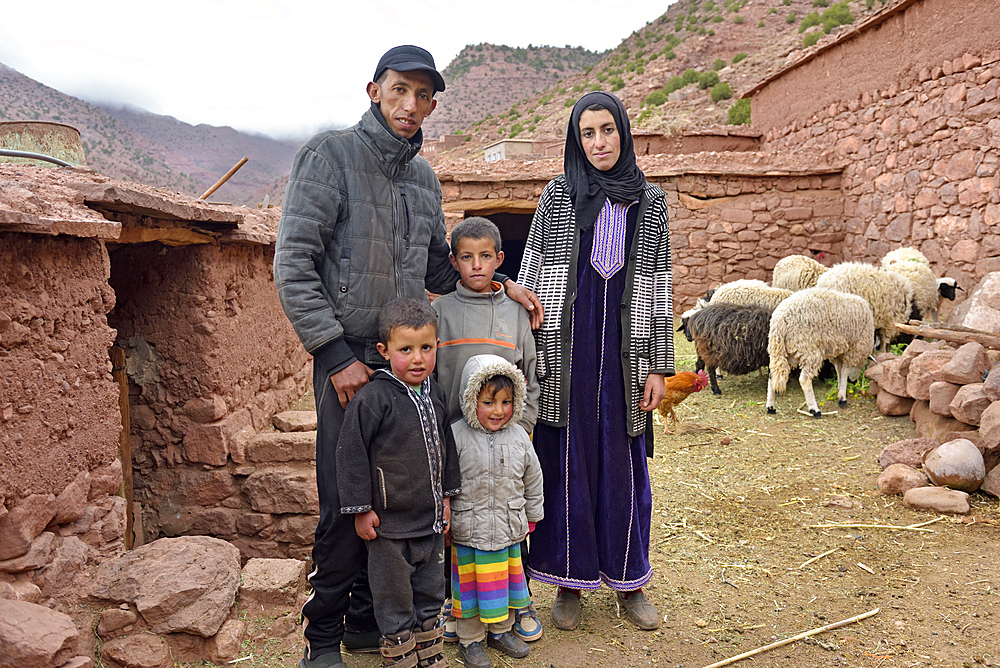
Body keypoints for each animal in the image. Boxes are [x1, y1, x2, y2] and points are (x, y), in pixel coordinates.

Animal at [764, 288, 876, 418]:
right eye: (863, 364)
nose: (853, 381)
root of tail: (779, 322)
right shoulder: (852, 349)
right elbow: (845, 371)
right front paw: (843, 397)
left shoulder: (838, 352)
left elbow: (839, 371)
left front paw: (839, 391)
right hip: (808, 349)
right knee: (804, 380)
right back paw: (814, 410)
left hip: (778, 351)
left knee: (772, 375)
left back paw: (771, 407)